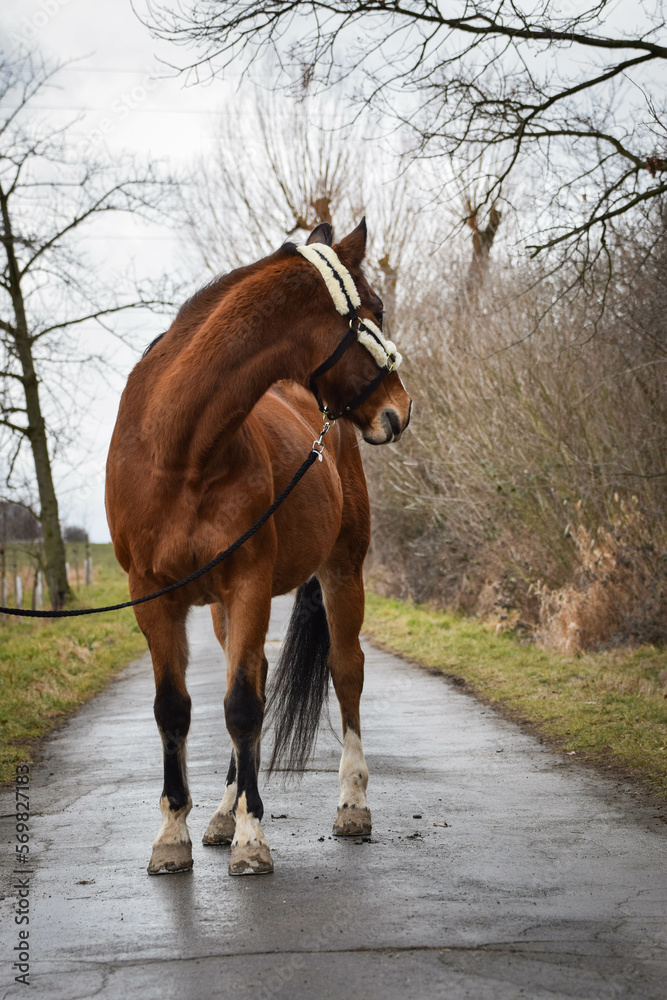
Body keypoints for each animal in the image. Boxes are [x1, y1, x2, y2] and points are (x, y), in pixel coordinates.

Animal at [105, 219, 412, 876]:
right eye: (374, 308)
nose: (400, 411)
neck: (180, 449)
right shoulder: (153, 597)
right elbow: (175, 708)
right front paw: (174, 834)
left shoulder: (247, 582)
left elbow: (242, 706)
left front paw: (253, 838)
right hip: (222, 608)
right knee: (254, 677)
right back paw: (223, 812)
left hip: (342, 573)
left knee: (344, 671)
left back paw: (351, 803)